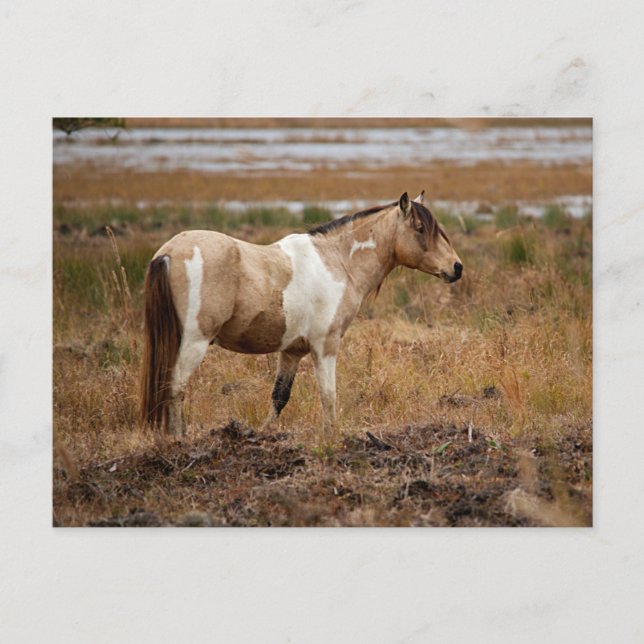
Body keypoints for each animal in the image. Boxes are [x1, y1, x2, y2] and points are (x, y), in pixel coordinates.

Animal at [140, 191, 463, 438]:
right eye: (420, 228)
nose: (456, 267)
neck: (338, 262)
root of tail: (167, 253)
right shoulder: (326, 346)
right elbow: (328, 396)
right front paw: (332, 437)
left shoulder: (292, 352)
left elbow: (279, 397)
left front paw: (263, 434)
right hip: (194, 342)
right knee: (175, 387)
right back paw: (178, 437)